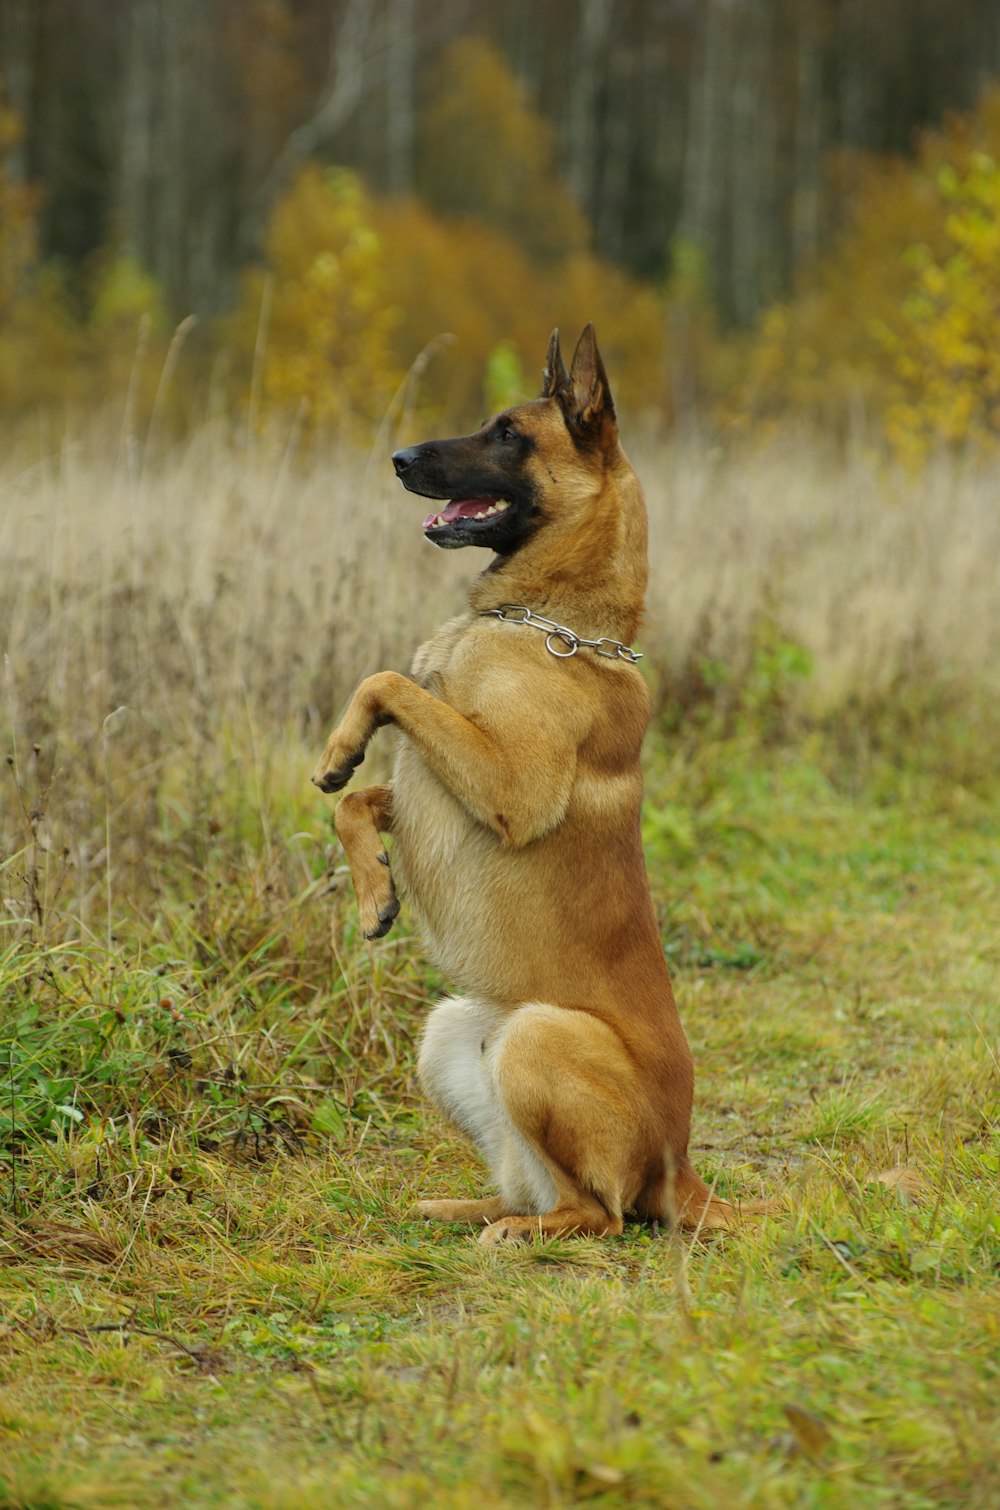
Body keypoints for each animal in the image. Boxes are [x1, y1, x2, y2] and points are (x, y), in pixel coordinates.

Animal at [317, 324, 770, 1244]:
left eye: (507, 434)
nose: (398, 458)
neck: (551, 623)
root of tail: (683, 1169)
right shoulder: (434, 787)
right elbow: (360, 796)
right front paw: (373, 888)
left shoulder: (509, 786)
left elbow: (389, 681)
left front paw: (344, 744)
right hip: (451, 1032)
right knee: (541, 1190)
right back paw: (461, 1208)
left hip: (535, 1036)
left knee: (599, 1212)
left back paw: (518, 1236)